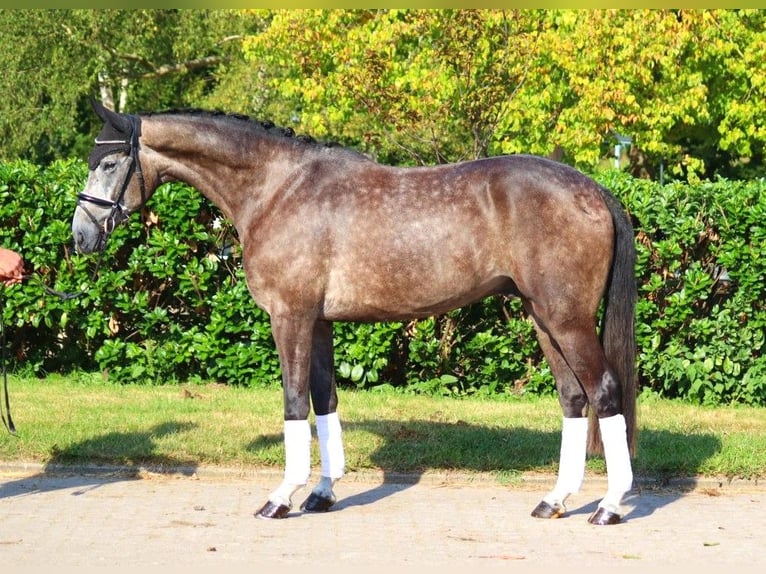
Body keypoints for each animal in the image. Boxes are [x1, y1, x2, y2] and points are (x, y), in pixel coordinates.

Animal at [72, 100, 640, 528]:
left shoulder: (290, 317)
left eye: (107, 163)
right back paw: (554, 501)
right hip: (543, 318)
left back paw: (609, 506)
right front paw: (322, 493)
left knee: (604, 393)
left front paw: (281, 497)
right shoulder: (319, 323)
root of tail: (593, 189)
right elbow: (325, 400)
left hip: (566, 319)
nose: (80, 235)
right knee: (573, 398)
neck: (277, 189)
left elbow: (295, 401)